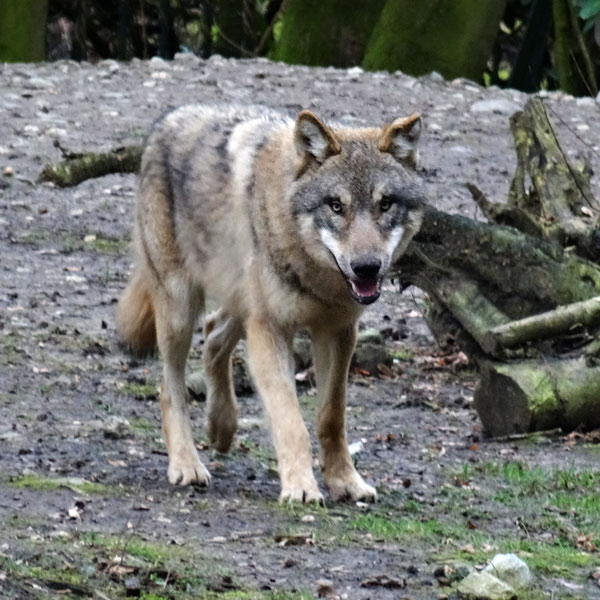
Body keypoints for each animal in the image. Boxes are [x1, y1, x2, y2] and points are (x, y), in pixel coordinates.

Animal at [117, 105, 424, 504]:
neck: (317, 278)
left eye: (385, 204)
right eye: (336, 206)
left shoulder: (338, 332)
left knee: (213, 333)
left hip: (241, 303)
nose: (367, 267)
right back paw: (186, 464)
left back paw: (221, 427)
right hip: (181, 309)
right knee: (171, 389)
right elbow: (290, 419)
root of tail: (168, 119)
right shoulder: (271, 329)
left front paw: (345, 481)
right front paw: (301, 488)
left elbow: (331, 417)